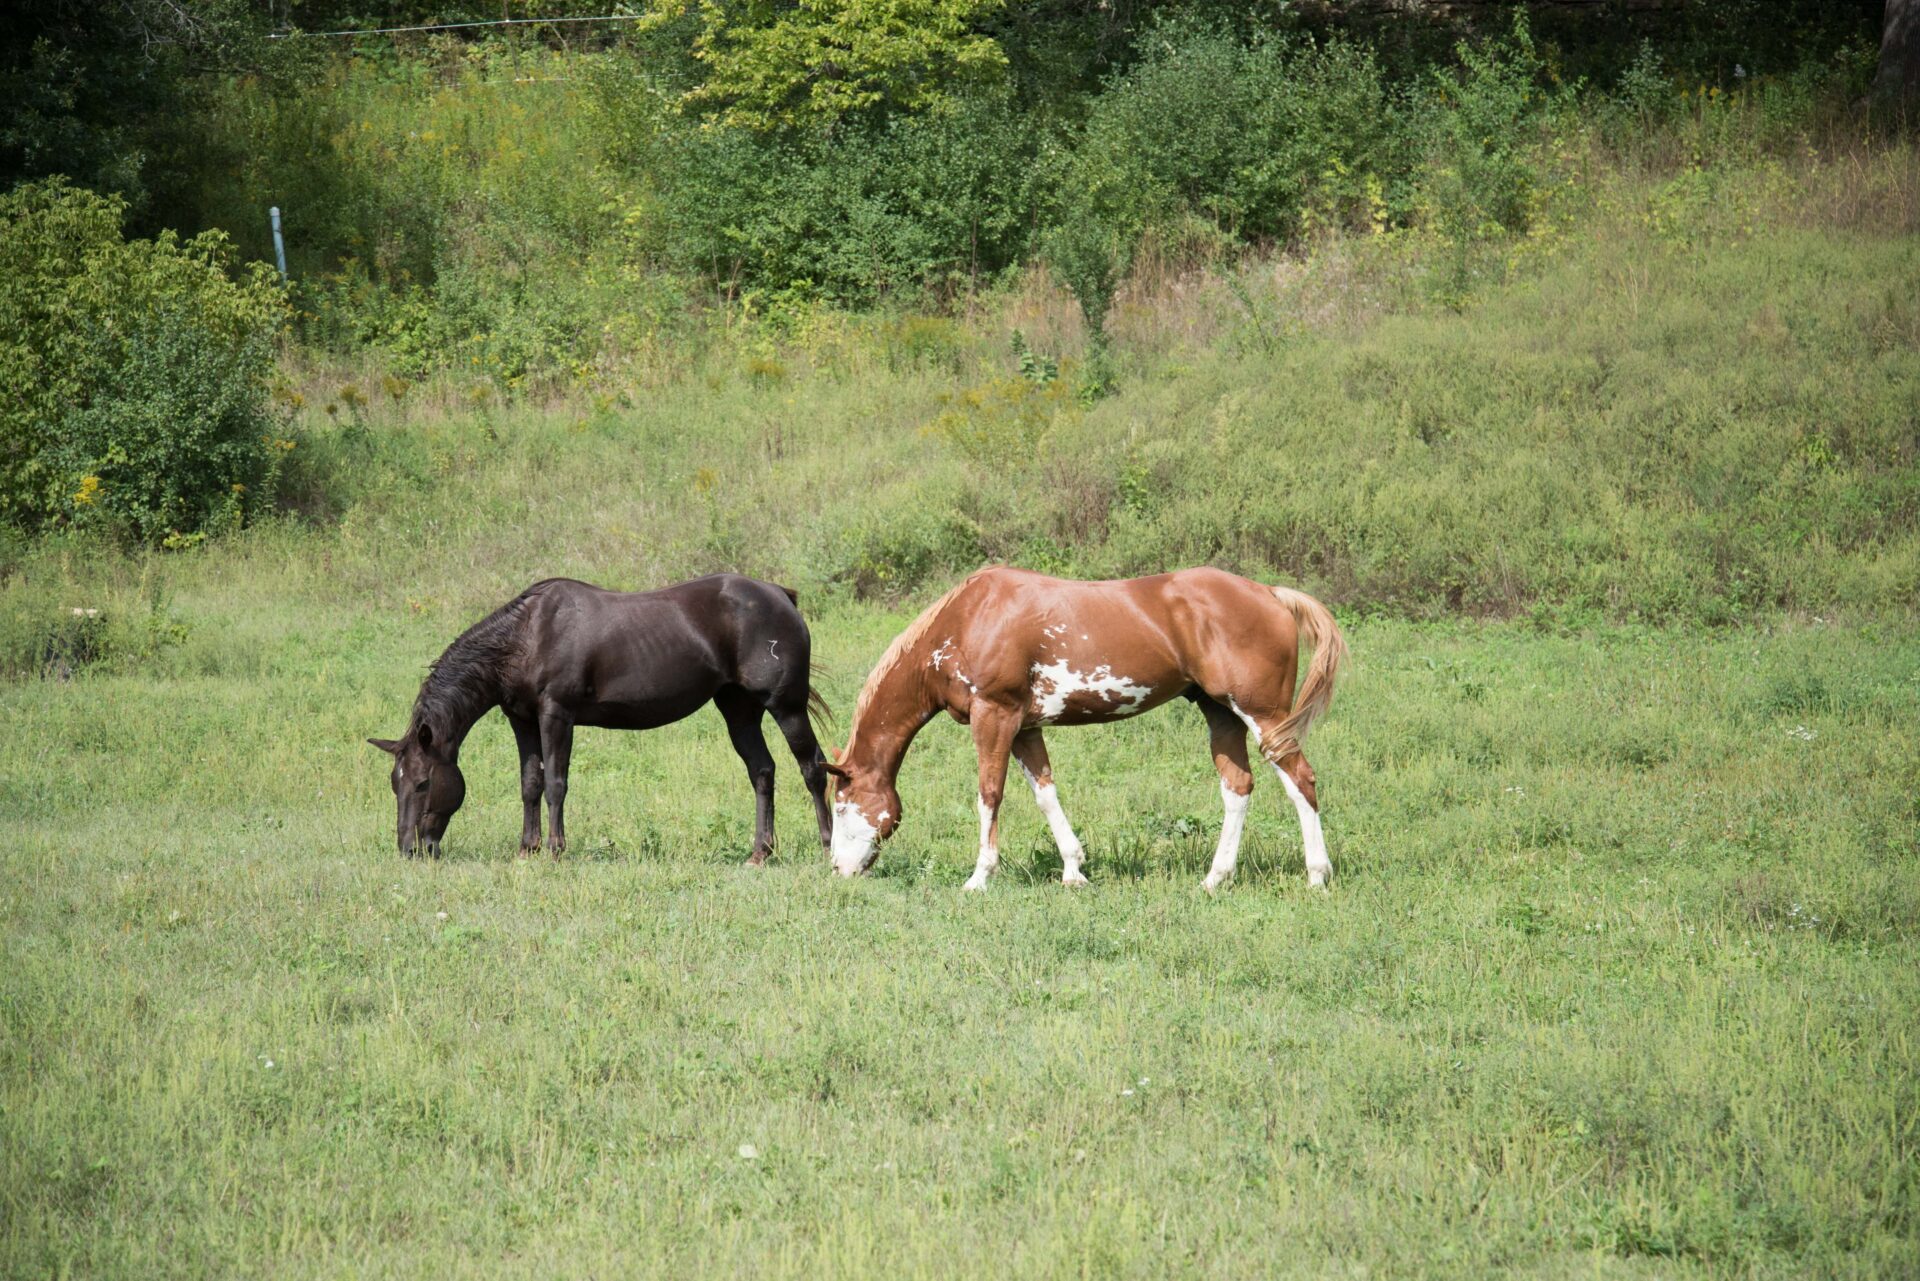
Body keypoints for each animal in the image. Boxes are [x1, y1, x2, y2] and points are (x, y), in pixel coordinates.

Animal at [366, 580, 833, 860]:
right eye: (394, 782)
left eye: (422, 782)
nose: (410, 849)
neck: (528, 636)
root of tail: (781, 595)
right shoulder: (522, 719)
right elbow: (530, 784)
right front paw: (527, 849)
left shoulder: (557, 714)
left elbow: (556, 784)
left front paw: (555, 849)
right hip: (738, 709)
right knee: (763, 772)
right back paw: (760, 852)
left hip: (786, 707)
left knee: (813, 768)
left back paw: (830, 845)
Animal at [825, 568, 1351, 891]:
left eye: (842, 805)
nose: (837, 870)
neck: (970, 618)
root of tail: (1271, 594)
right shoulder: (1024, 727)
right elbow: (1045, 794)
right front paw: (1074, 871)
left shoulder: (994, 715)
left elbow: (989, 794)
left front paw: (979, 878)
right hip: (1220, 715)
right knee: (1238, 787)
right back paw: (1214, 879)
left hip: (1263, 715)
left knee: (1300, 780)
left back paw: (1317, 876)